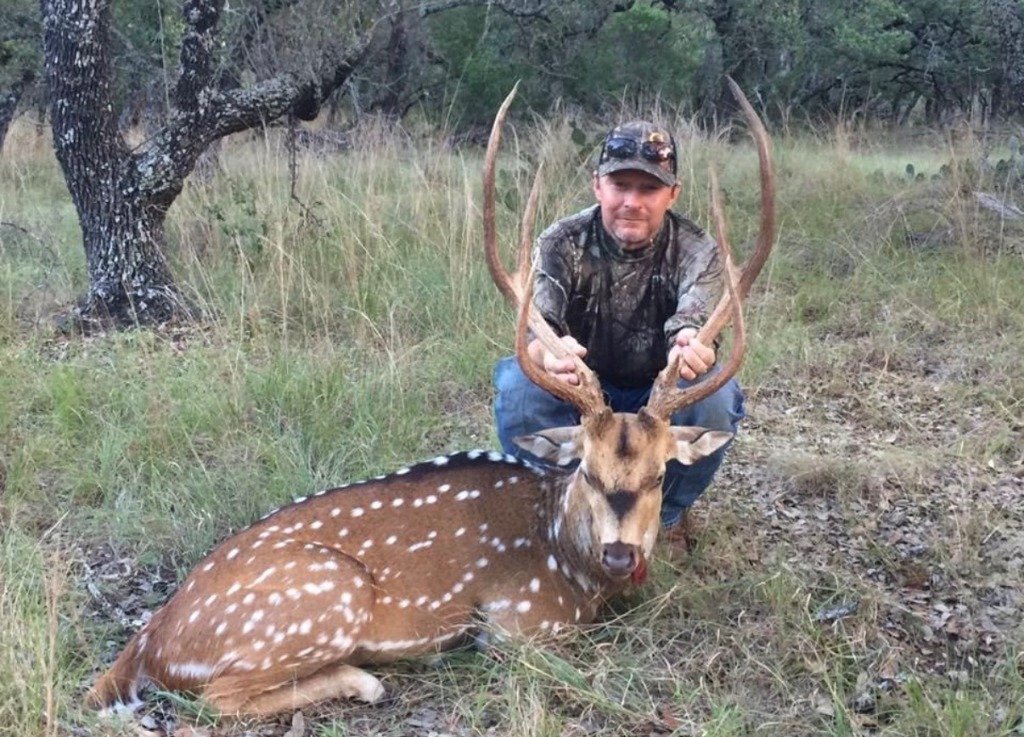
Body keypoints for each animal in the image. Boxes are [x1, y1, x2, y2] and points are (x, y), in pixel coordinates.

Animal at [88, 79, 775, 719]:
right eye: (588, 469)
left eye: (660, 475)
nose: (620, 554)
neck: (565, 554)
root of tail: (148, 643)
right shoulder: (522, 617)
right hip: (323, 597)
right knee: (219, 696)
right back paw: (365, 677)